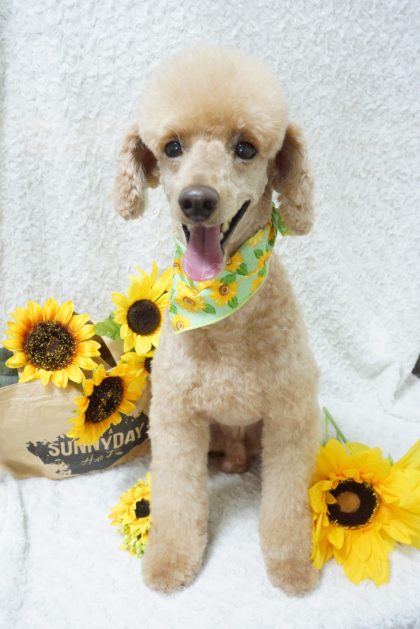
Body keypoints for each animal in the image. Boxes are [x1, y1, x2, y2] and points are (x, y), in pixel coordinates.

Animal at [114, 47, 321, 595]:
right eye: (172, 147)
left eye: (245, 148)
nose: (197, 200)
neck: (224, 313)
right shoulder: (177, 419)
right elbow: (176, 500)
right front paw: (169, 561)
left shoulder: (291, 416)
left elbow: (287, 505)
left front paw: (292, 564)